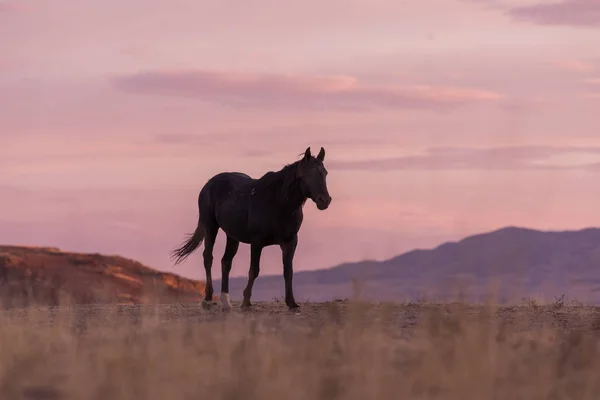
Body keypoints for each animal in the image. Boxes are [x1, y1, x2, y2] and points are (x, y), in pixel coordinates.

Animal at [171, 147, 332, 312]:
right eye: (309, 174)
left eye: (325, 173)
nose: (325, 200)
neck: (277, 203)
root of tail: (208, 184)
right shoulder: (257, 242)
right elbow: (254, 270)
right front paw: (246, 302)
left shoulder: (290, 242)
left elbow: (288, 272)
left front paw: (292, 303)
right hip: (211, 227)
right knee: (208, 258)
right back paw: (208, 300)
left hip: (232, 236)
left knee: (226, 262)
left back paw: (226, 302)